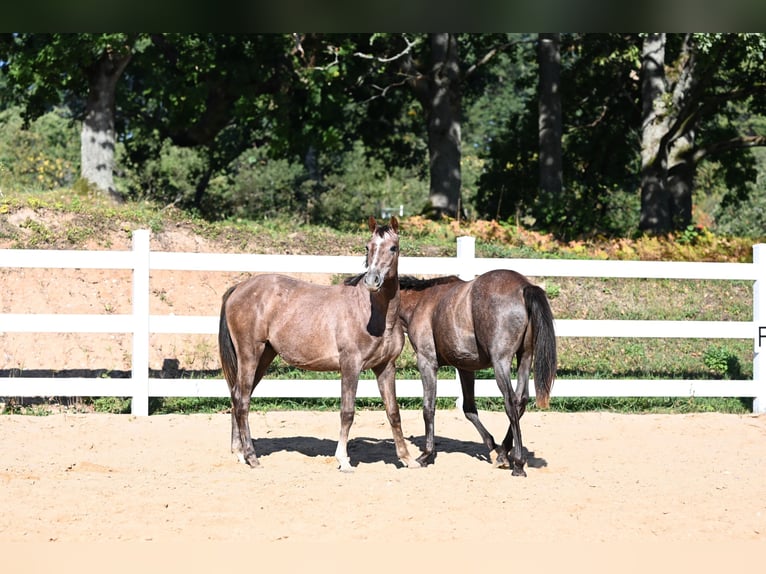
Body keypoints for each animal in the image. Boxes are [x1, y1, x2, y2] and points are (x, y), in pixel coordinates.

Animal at [216, 216, 420, 472]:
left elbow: (393, 412)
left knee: (237, 396)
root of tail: (239, 289)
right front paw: (343, 460)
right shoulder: (350, 366)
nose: (372, 280)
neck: (376, 315)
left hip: (263, 357)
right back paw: (252, 457)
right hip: (249, 355)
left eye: (393, 248)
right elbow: (347, 412)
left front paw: (407, 458)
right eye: (368, 247)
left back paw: (240, 453)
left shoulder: (385, 367)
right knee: (242, 400)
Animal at [396, 270, 560, 476]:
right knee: (521, 400)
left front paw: (426, 455)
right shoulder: (465, 368)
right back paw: (503, 454)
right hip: (525, 357)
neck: (421, 302)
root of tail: (524, 286)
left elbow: (428, 408)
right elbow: (469, 409)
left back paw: (518, 463)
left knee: (511, 402)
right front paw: (493, 448)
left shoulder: (427, 362)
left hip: (501, 363)